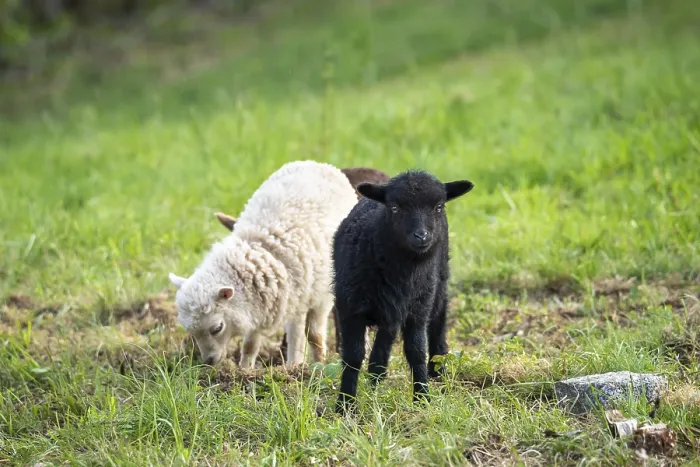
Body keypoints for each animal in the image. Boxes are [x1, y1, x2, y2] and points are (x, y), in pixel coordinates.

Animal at [168, 160, 358, 368]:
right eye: (191, 331)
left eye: (217, 328)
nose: (209, 361)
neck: (261, 248)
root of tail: (317, 164)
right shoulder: (258, 304)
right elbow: (250, 345)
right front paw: (244, 370)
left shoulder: (304, 299)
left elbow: (304, 337)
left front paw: (300, 367)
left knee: (312, 333)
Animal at [332, 169, 473, 413]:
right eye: (395, 208)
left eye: (438, 207)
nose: (421, 236)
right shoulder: (350, 308)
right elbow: (353, 355)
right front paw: (346, 404)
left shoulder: (418, 308)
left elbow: (416, 351)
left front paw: (422, 397)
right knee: (384, 340)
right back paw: (376, 377)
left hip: (438, 284)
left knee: (438, 319)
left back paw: (437, 369)